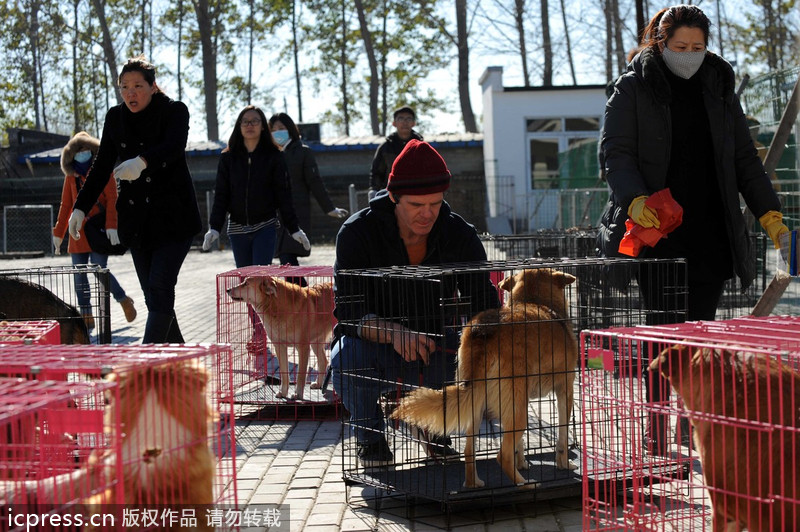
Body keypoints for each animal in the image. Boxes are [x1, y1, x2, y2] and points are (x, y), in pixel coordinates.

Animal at [392, 268, 576, 488]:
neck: (535, 301)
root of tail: (484, 330)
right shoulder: (565, 390)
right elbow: (563, 435)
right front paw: (563, 463)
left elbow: (519, 444)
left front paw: (522, 462)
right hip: (517, 408)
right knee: (503, 456)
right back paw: (525, 484)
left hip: (478, 402)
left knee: (469, 451)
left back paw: (474, 483)